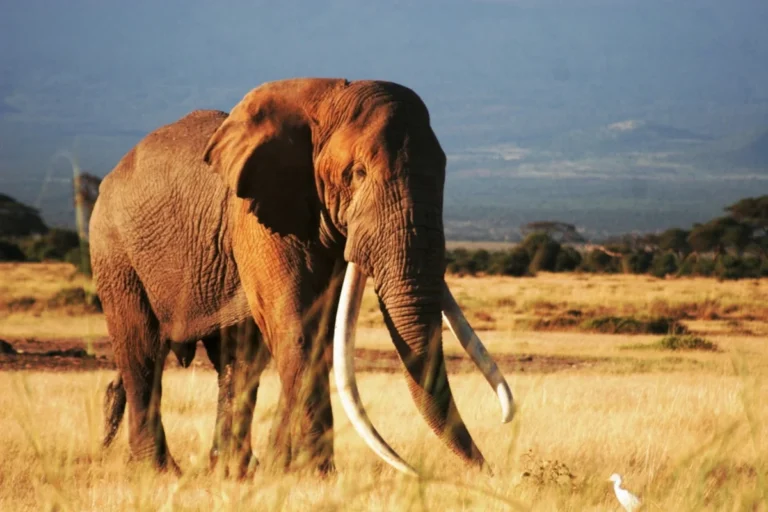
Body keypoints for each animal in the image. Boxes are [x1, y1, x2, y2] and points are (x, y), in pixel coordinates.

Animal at [89, 78, 514, 478]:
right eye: (356, 173)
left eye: (443, 175)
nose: (487, 471)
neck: (323, 100)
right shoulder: (257, 216)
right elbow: (297, 330)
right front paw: (311, 475)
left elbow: (319, 333)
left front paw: (286, 472)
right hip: (113, 249)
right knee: (141, 350)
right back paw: (159, 471)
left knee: (239, 359)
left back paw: (232, 472)